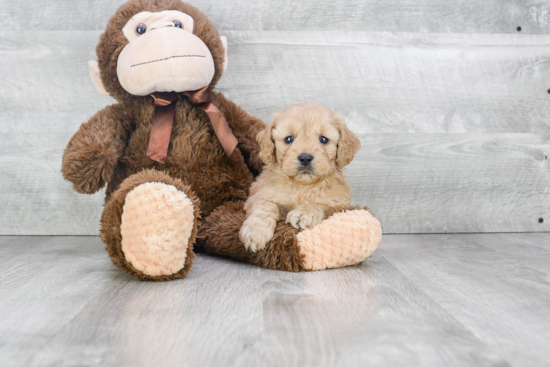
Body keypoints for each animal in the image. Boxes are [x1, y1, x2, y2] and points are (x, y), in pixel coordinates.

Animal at [238, 103, 362, 253]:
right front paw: (255, 230)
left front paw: (303, 213)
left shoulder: (340, 202)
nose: (305, 158)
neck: (302, 186)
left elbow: (320, 203)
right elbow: (264, 206)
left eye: (323, 139)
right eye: (289, 139)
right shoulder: (260, 194)